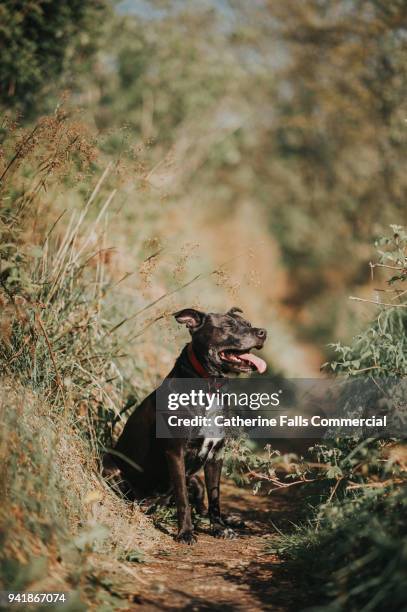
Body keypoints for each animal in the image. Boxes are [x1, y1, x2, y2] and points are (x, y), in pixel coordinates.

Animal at [106, 308, 268, 544]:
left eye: (248, 323)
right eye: (228, 326)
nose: (263, 332)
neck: (209, 388)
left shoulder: (216, 455)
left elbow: (215, 498)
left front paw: (220, 528)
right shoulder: (175, 452)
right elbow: (183, 498)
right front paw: (185, 533)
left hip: (195, 480)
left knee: (201, 506)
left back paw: (230, 519)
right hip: (111, 467)